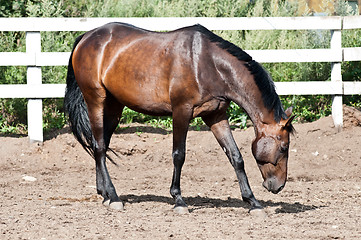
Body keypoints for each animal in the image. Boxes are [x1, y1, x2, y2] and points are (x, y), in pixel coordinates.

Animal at [63, 23, 294, 214]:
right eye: (284, 147)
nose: (278, 185)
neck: (209, 63)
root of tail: (86, 37)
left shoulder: (215, 115)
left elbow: (235, 156)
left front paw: (253, 202)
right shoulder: (181, 111)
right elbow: (179, 155)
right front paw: (179, 200)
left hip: (114, 106)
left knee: (99, 145)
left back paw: (104, 194)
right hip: (96, 100)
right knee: (100, 147)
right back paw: (114, 197)